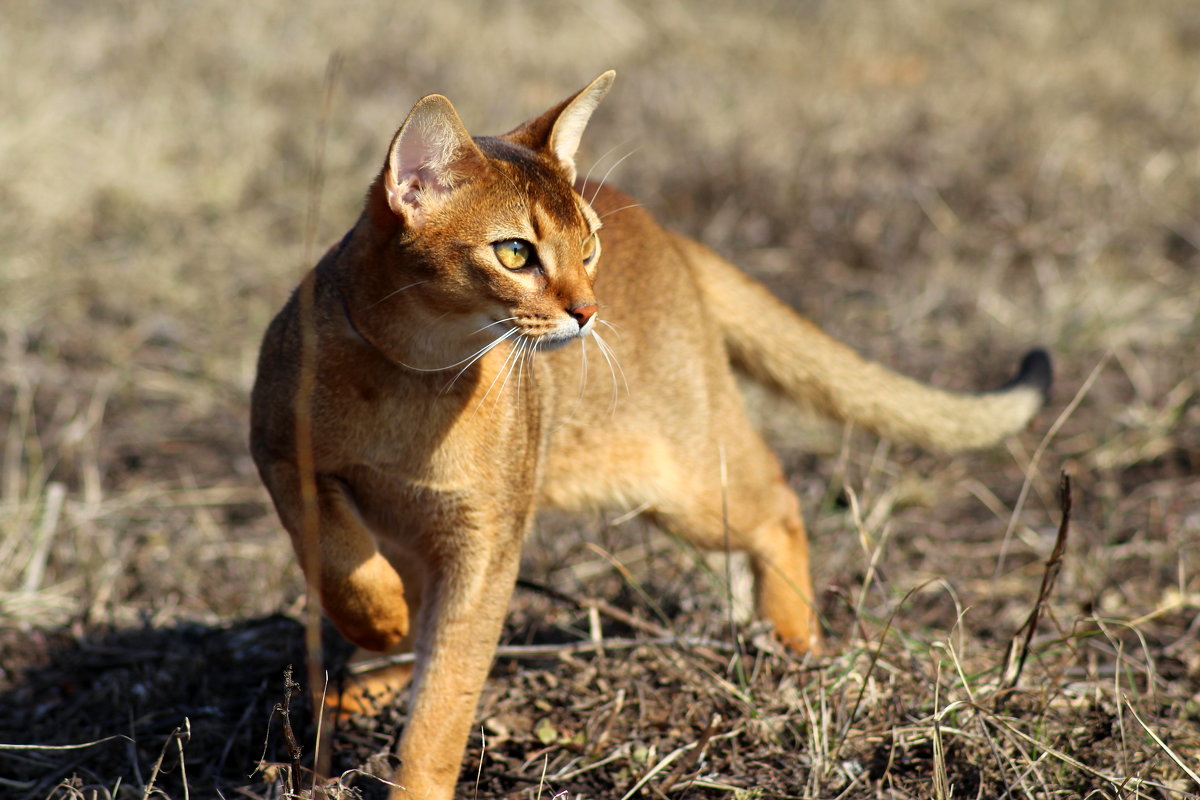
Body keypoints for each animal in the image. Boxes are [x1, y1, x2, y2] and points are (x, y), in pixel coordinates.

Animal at [250, 70, 1051, 800]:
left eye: (588, 245)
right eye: (514, 253)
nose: (586, 310)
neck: (415, 373)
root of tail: (672, 237)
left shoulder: (487, 541)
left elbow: (445, 699)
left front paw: (415, 772)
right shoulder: (283, 458)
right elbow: (339, 556)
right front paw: (377, 621)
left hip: (687, 480)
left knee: (778, 501)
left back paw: (794, 640)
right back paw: (371, 672)